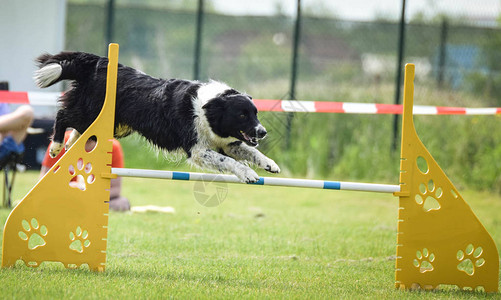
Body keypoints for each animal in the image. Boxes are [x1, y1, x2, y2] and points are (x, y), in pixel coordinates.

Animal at [33, 51, 280, 183]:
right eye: (242, 114)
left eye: (255, 113)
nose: (262, 132)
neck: (209, 108)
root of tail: (98, 62)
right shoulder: (198, 150)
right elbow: (229, 161)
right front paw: (248, 173)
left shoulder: (225, 143)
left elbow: (250, 151)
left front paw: (270, 164)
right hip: (92, 112)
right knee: (63, 115)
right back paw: (56, 147)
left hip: (113, 124)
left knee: (78, 130)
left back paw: (70, 146)